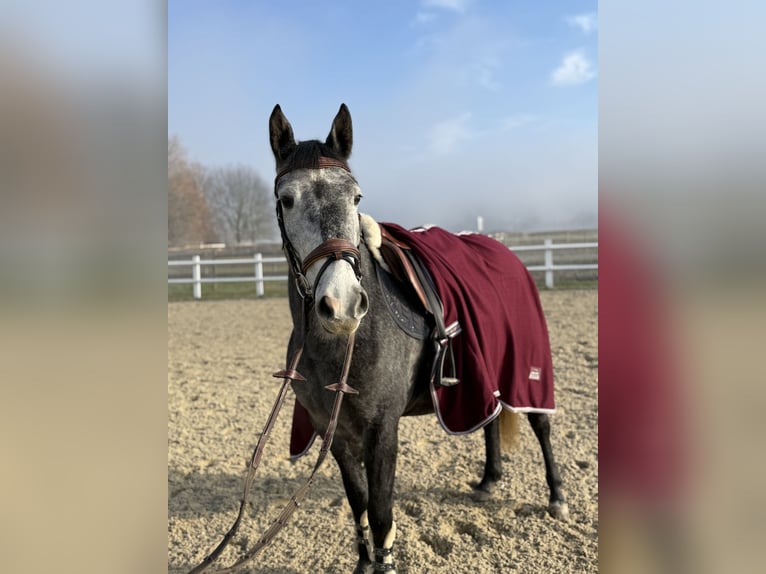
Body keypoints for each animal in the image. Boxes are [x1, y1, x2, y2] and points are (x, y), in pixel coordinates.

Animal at [269, 103, 568, 573]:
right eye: (286, 199)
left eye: (356, 198)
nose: (342, 303)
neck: (341, 348)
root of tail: (505, 253)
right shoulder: (336, 435)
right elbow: (358, 505)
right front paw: (363, 563)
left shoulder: (382, 431)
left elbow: (381, 514)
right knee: (489, 419)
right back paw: (488, 480)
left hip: (526, 371)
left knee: (541, 424)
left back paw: (556, 496)